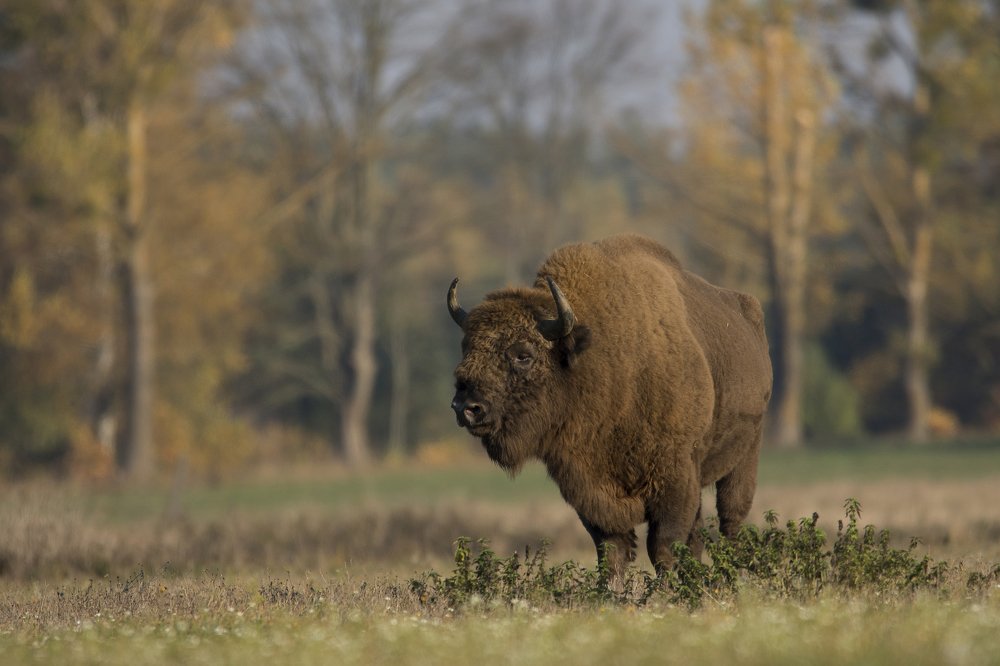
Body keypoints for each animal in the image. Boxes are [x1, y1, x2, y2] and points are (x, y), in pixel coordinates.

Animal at [447, 233, 772, 576]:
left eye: (523, 354)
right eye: (467, 348)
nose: (466, 407)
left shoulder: (675, 480)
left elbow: (664, 548)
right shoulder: (589, 490)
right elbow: (612, 552)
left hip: (745, 455)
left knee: (732, 522)